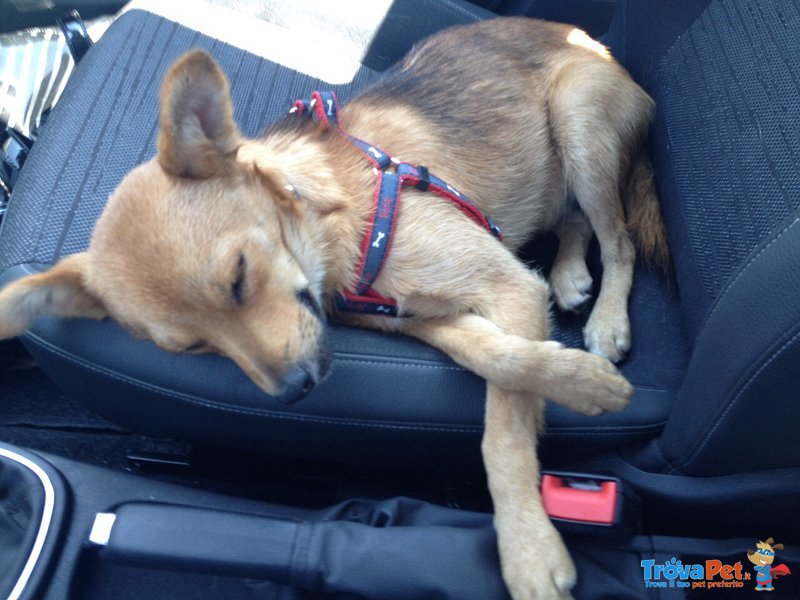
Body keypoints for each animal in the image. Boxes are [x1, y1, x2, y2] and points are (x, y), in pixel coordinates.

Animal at [0, 16, 668, 596]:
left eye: (238, 277)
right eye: (191, 347)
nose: (294, 389)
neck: (330, 215)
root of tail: (595, 44)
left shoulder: (508, 286)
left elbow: (502, 428)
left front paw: (527, 546)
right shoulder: (420, 318)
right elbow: (498, 358)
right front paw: (575, 383)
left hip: (579, 120)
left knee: (618, 237)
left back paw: (606, 317)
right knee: (575, 221)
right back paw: (569, 272)